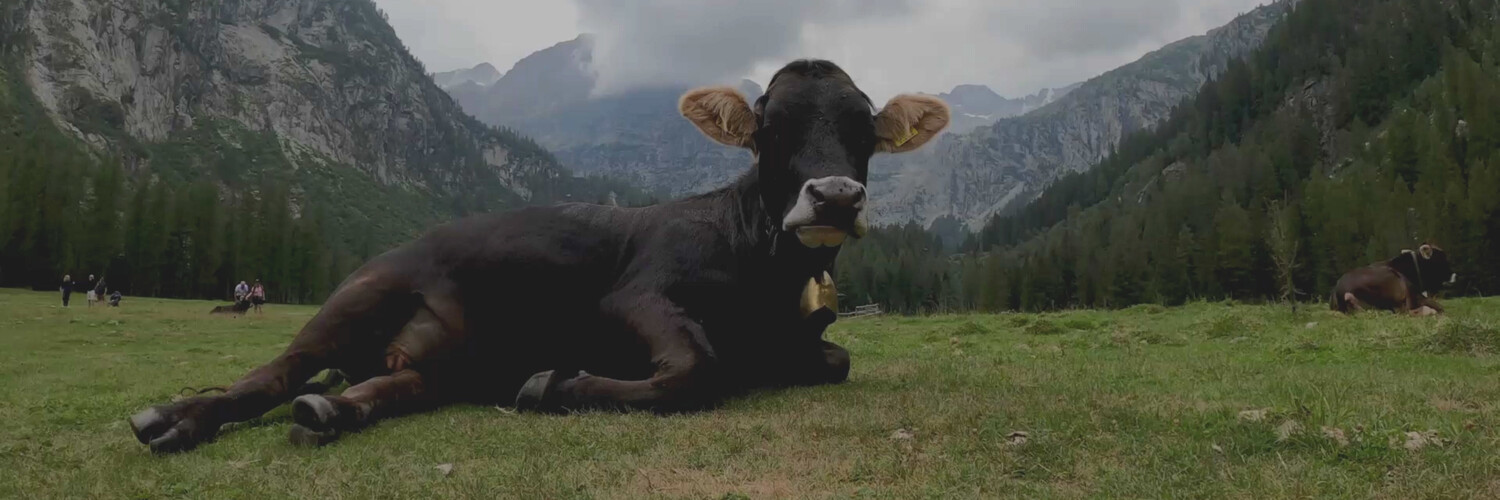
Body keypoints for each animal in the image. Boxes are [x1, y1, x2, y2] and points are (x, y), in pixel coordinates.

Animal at [127, 59, 951, 453]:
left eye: (865, 129)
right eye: (770, 127)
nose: (835, 196)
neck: (764, 279)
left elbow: (835, 360)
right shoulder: (636, 295)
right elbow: (696, 367)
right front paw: (556, 384)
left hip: (439, 365)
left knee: (375, 387)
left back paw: (333, 410)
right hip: (357, 296)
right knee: (269, 375)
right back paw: (174, 419)